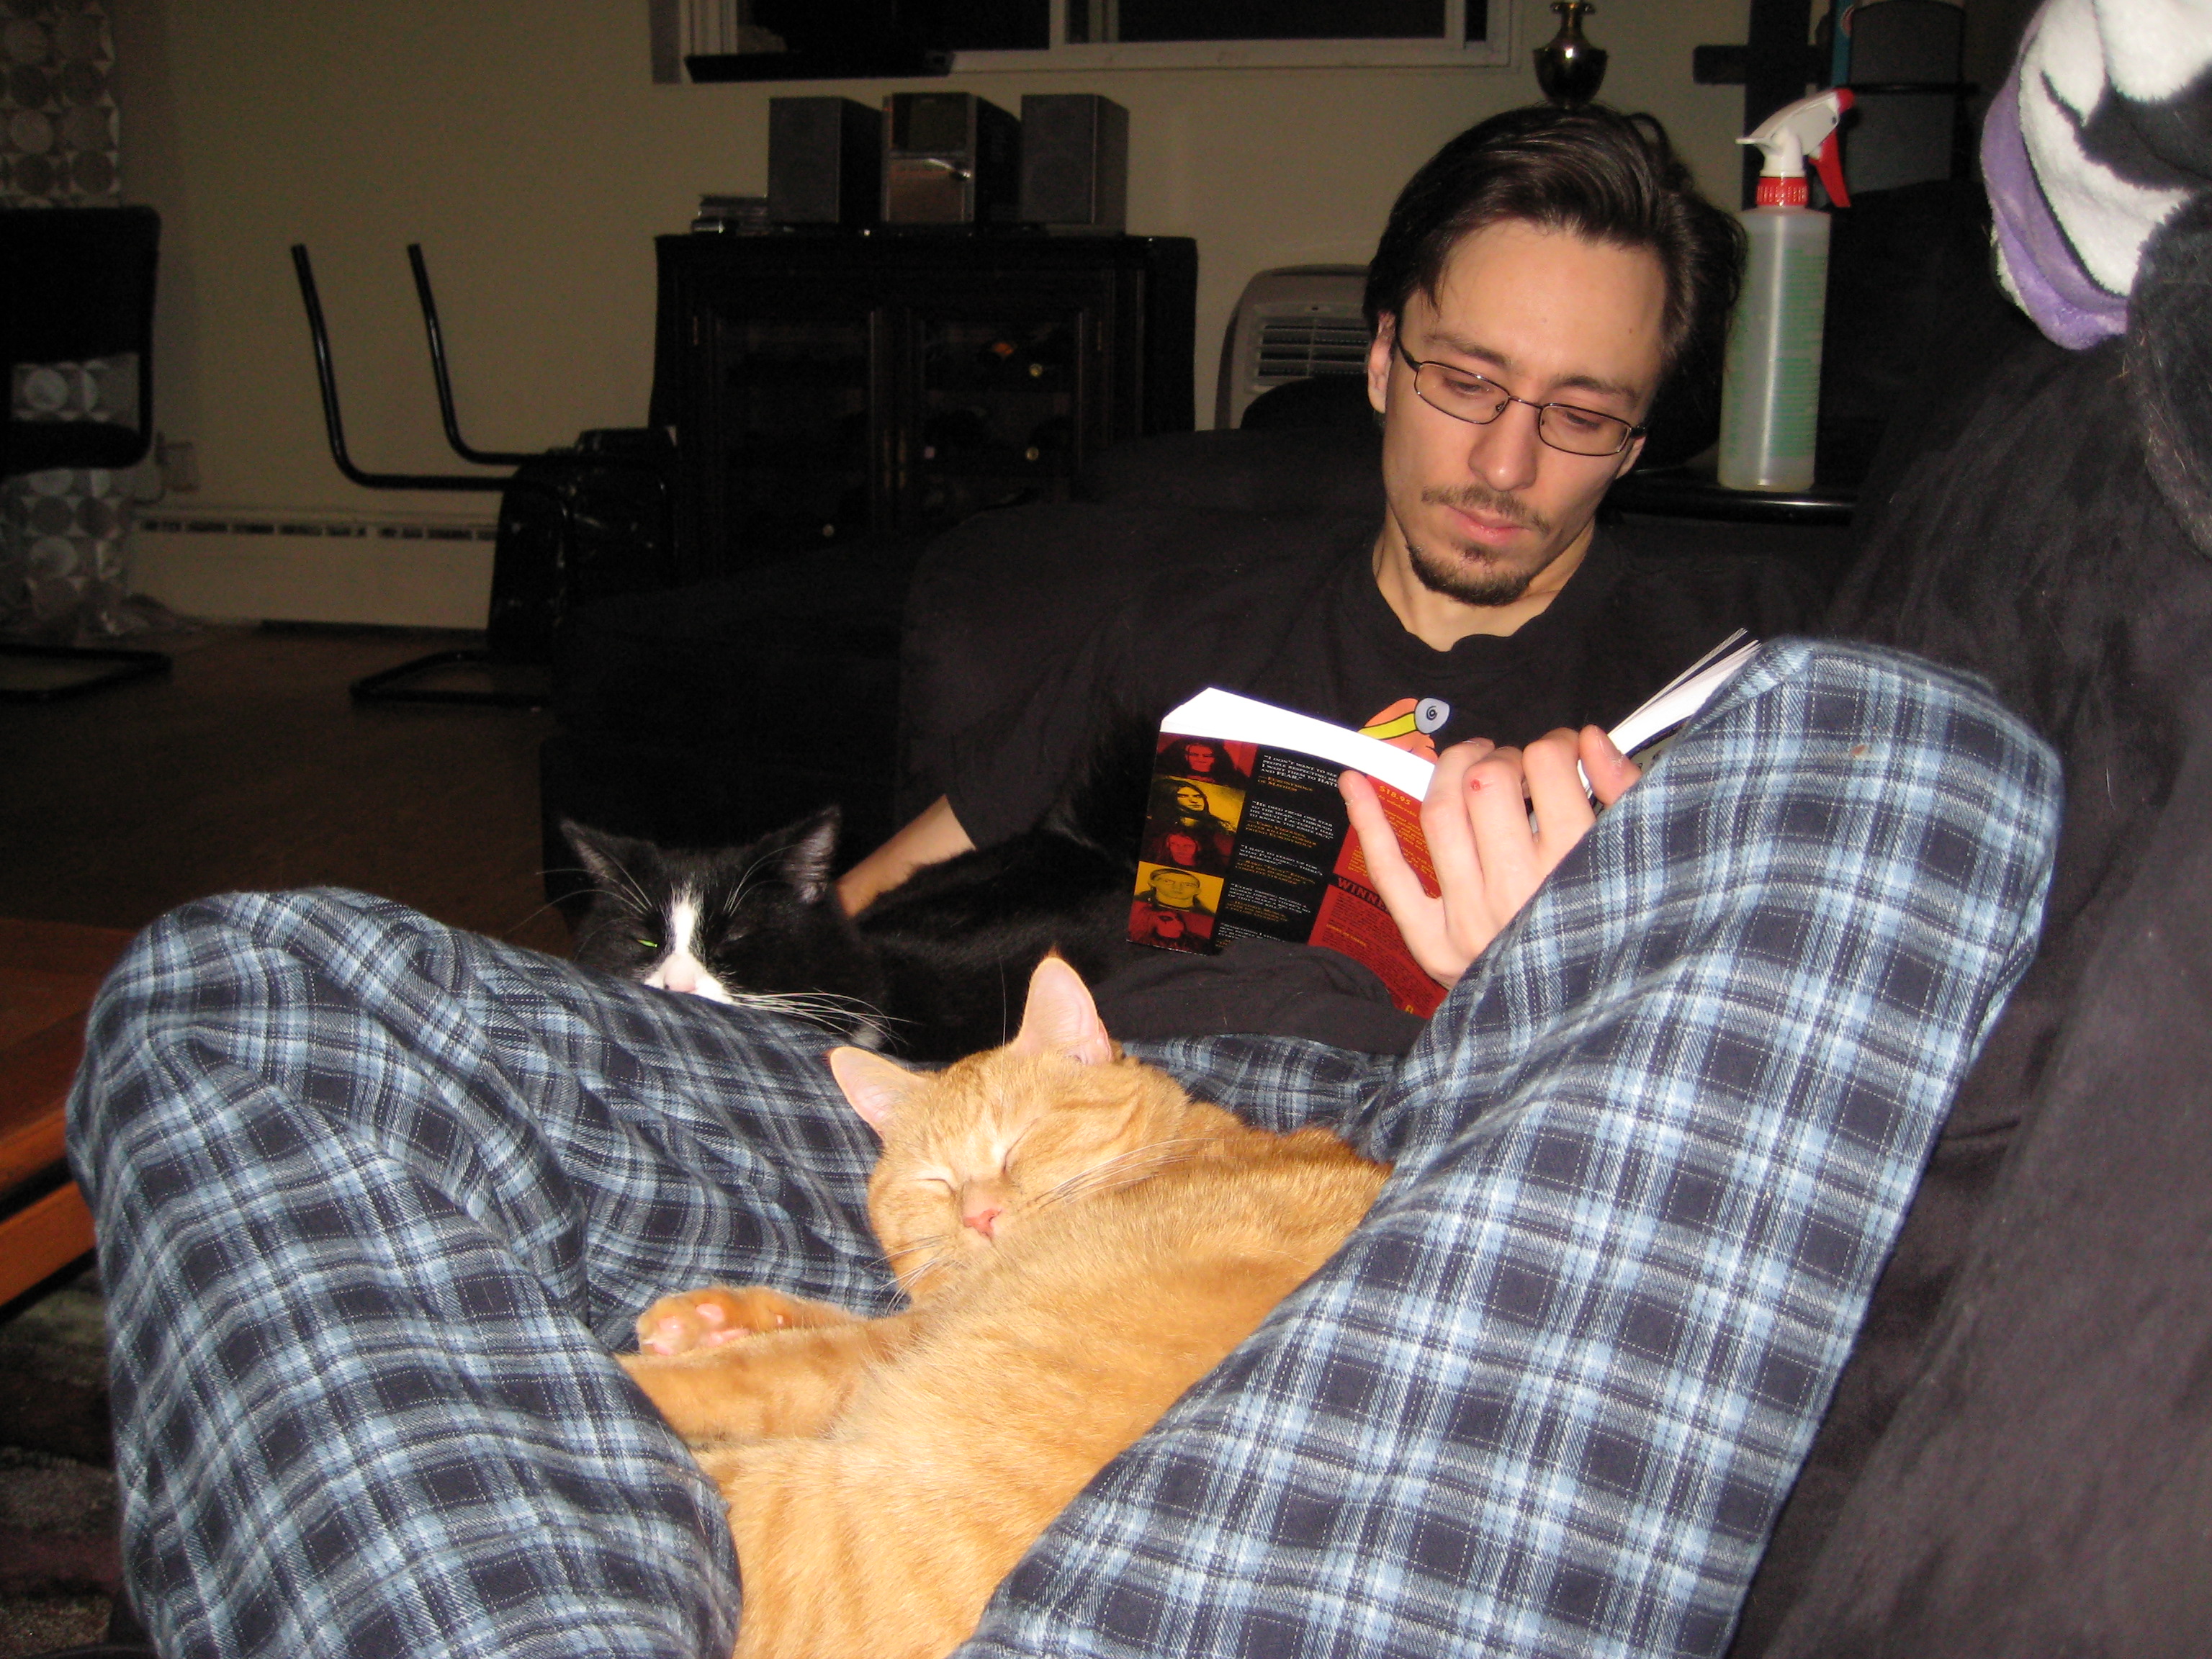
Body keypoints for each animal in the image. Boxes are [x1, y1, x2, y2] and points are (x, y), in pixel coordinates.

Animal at [619, 955, 1389, 1659]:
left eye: (1018, 1145)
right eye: (936, 1181)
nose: (980, 1215)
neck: (1174, 1152)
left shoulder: (890, 1346)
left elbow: (758, 1370)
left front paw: (648, 1365)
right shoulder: (908, 1327)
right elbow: (798, 1318)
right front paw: (701, 1323)